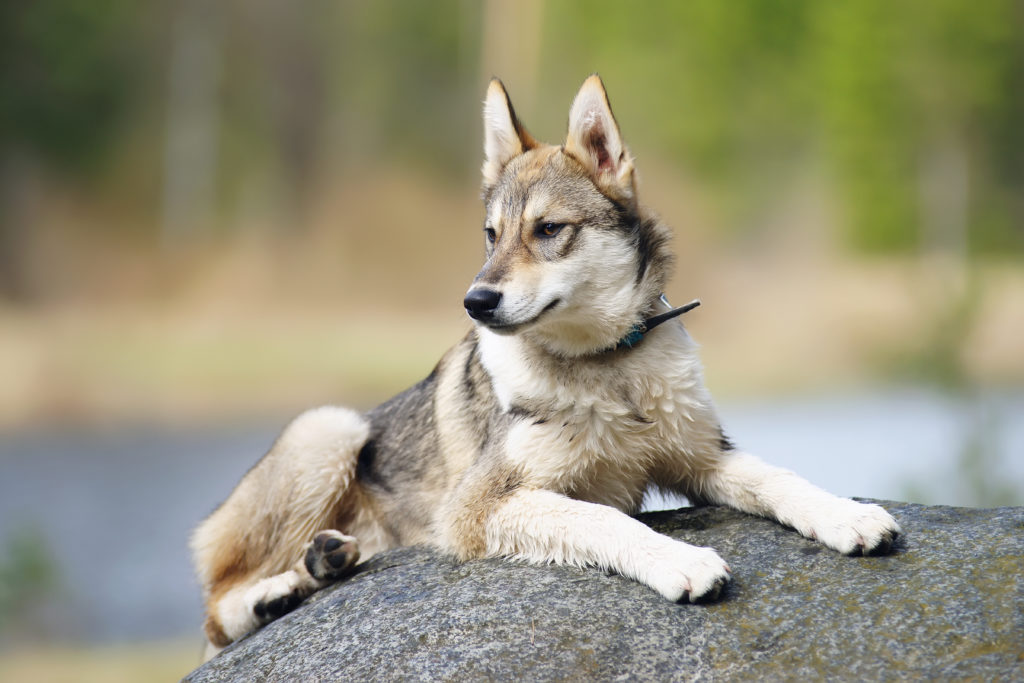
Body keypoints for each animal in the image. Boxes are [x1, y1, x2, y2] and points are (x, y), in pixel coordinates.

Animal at [190, 76, 897, 663]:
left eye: (549, 229)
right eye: (490, 234)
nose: (475, 301)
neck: (607, 367)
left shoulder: (702, 457)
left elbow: (781, 479)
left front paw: (848, 516)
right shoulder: (478, 507)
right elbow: (602, 518)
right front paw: (681, 560)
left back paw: (326, 561)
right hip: (330, 426)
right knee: (216, 614)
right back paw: (276, 593)